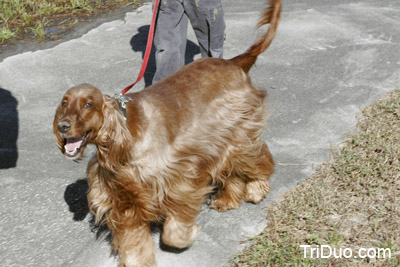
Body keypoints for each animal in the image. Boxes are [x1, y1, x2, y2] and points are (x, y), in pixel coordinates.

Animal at [53, 1, 280, 266]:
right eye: (64, 103)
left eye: (88, 104)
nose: (62, 126)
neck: (126, 135)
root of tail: (233, 62)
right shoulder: (125, 196)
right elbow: (133, 240)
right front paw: (137, 259)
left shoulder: (181, 177)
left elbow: (173, 230)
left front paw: (184, 236)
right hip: (222, 140)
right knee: (231, 169)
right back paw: (227, 199)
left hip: (238, 133)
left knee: (259, 157)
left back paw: (256, 189)